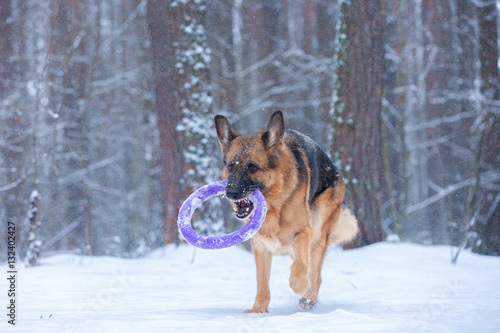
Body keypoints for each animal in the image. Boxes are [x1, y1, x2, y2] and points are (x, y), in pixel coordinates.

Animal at [213, 111, 358, 312]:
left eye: (252, 167)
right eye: (231, 166)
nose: (231, 193)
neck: (274, 205)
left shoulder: (303, 233)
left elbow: (300, 267)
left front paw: (298, 285)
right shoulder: (260, 246)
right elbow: (262, 282)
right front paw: (258, 310)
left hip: (318, 230)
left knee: (315, 271)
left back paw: (309, 298)